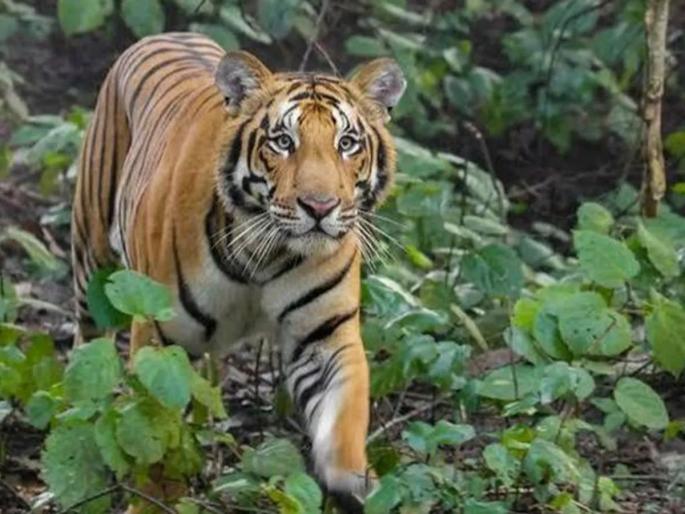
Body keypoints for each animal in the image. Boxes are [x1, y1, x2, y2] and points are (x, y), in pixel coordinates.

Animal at [71, 32, 405, 510]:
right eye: (283, 141)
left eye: (347, 143)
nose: (320, 207)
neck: (265, 256)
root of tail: (168, 33)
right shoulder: (157, 330)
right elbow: (156, 429)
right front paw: (155, 498)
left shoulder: (324, 336)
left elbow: (344, 414)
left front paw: (352, 483)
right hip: (92, 257)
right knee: (85, 345)